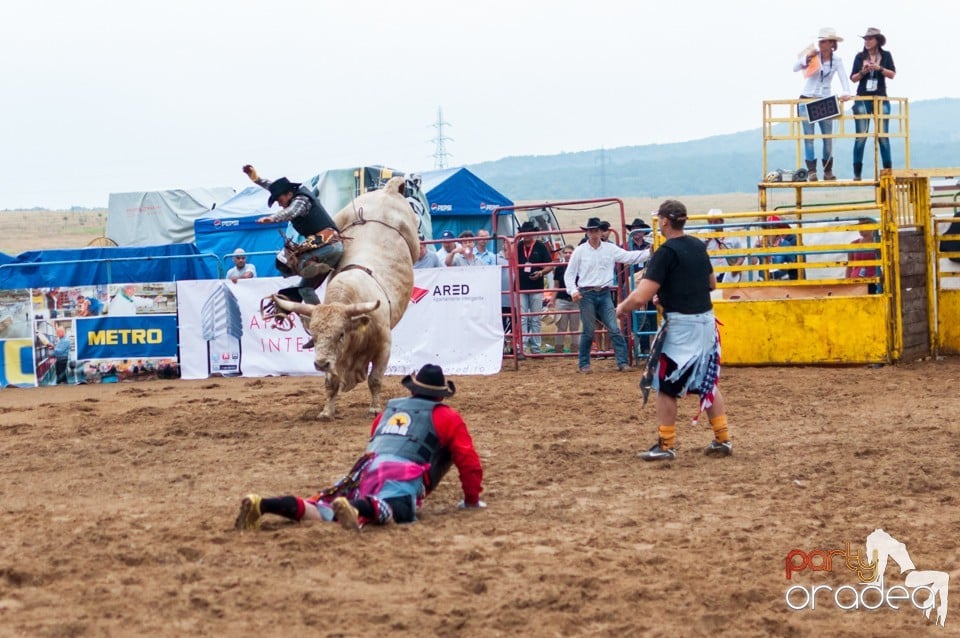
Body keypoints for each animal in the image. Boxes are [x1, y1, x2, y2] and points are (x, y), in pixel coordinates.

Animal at [272, 178, 418, 422]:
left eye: (341, 333)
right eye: (314, 335)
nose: (320, 363)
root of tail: (387, 191)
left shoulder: (384, 347)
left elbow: (375, 379)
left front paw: (375, 408)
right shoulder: (335, 359)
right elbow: (331, 383)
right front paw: (326, 411)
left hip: (414, 242)